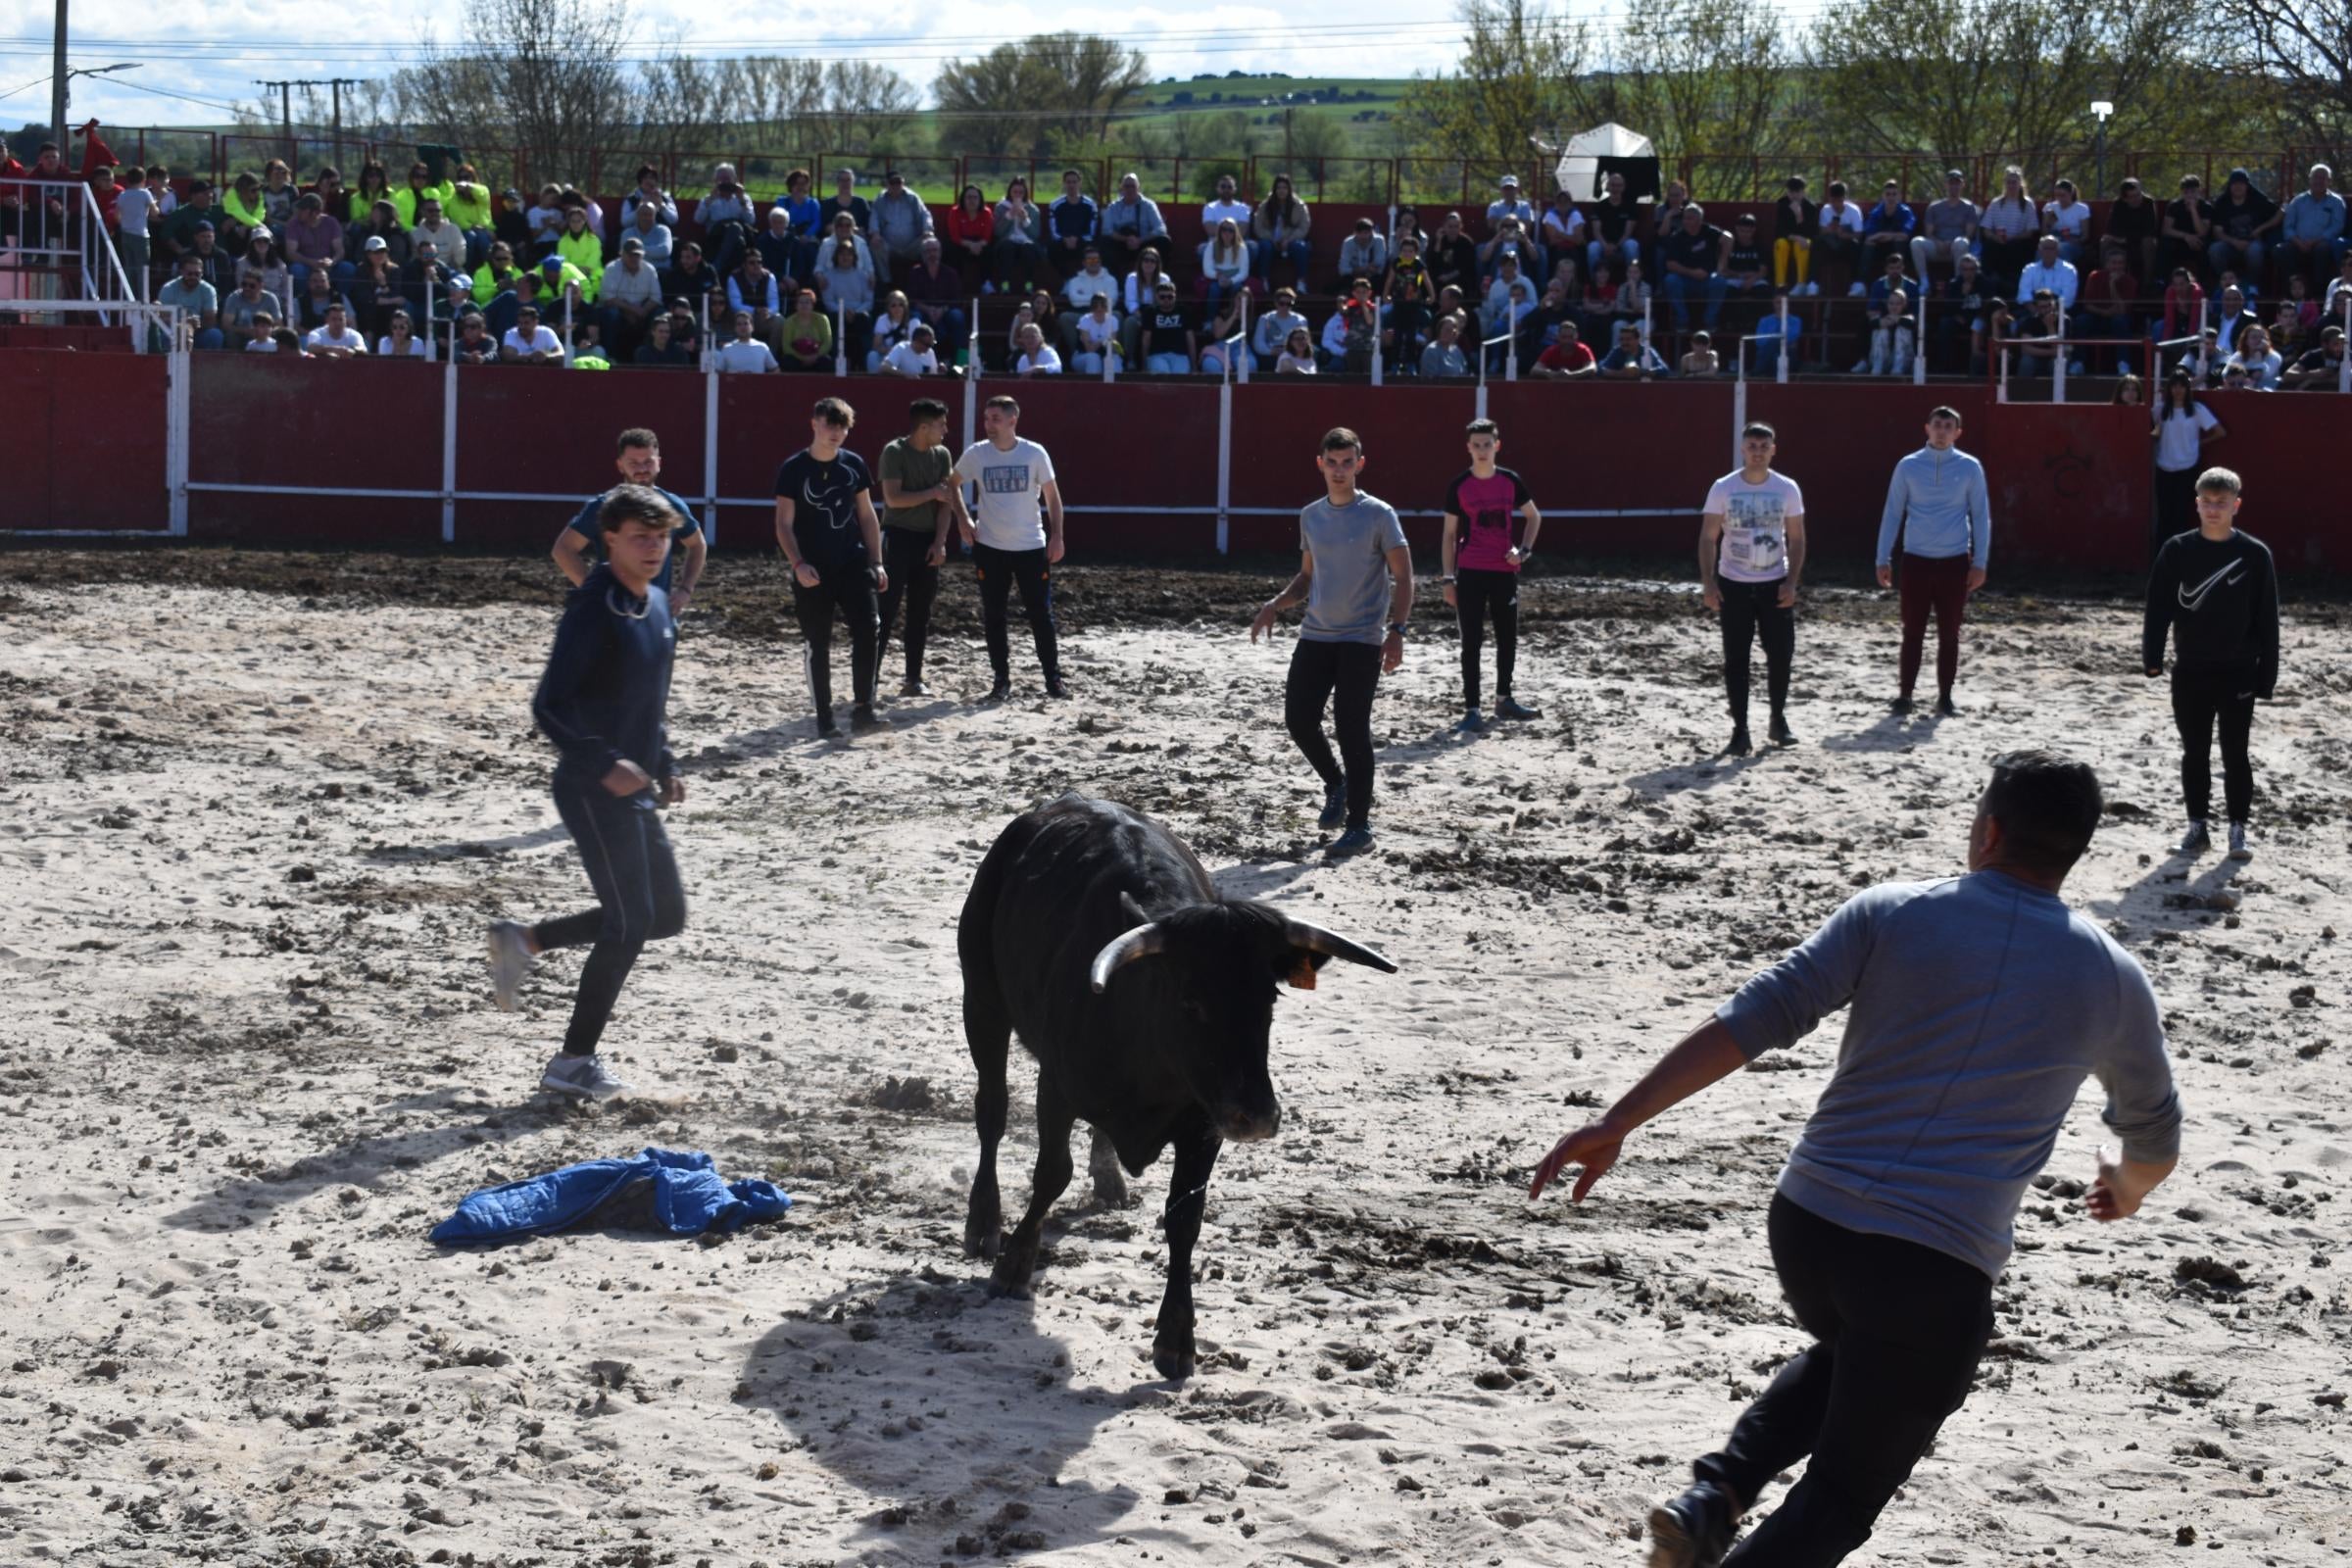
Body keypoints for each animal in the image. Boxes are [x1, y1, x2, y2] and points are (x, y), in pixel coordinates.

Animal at [959, 799, 1392, 1382]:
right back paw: (983, 1220)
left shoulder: (1206, 1122)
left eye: (1270, 999)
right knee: (993, 1112)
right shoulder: (1057, 1086)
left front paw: (1176, 1336)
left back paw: (1109, 1178)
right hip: (982, 1001)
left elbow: (1185, 1216)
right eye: (1191, 1001)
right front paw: (1013, 1263)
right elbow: (1051, 1173)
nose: (1257, 1115)